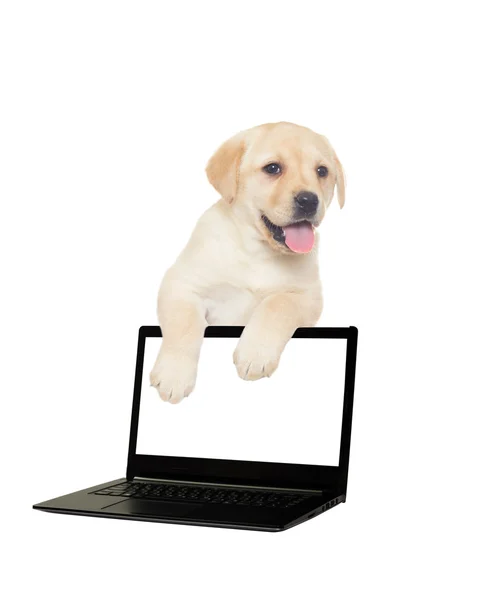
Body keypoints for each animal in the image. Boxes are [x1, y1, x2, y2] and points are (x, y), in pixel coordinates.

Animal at [151, 120, 344, 404]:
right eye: (273, 168)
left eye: (322, 171)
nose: (309, 200)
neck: (258, 252)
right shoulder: (181, 285)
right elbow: (185, 323)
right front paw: (174, 374)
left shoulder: (308, 297)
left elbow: (276, 304)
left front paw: (255, 352)